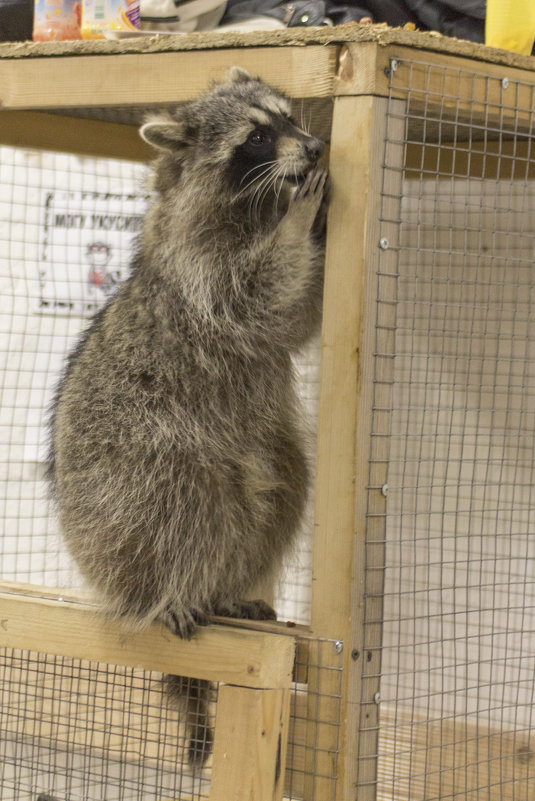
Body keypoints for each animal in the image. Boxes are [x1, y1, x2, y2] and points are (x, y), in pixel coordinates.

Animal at [50, 67, 328, 764]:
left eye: (287, 117)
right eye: (256, 137)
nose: (314, 146)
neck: (250, 203)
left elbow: (294, 321)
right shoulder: (200, 269)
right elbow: (259, 295)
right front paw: (299, 223)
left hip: (262, 450)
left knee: (286, 479)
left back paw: (226, 589)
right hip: (130, 468)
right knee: (178, 499)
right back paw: (171, 590)